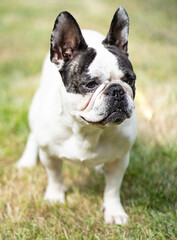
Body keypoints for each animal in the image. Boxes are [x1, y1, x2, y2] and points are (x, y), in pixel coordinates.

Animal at [17, 7, 137, 225]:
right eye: (90, 84)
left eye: (130, 80)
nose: (117, 90)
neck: (86, 129)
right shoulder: (49, 155)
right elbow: (55, 177)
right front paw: (55, 197)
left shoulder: (120, 159)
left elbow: (112, 188)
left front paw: (114, 212)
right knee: (32, 136)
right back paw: (26, 161)